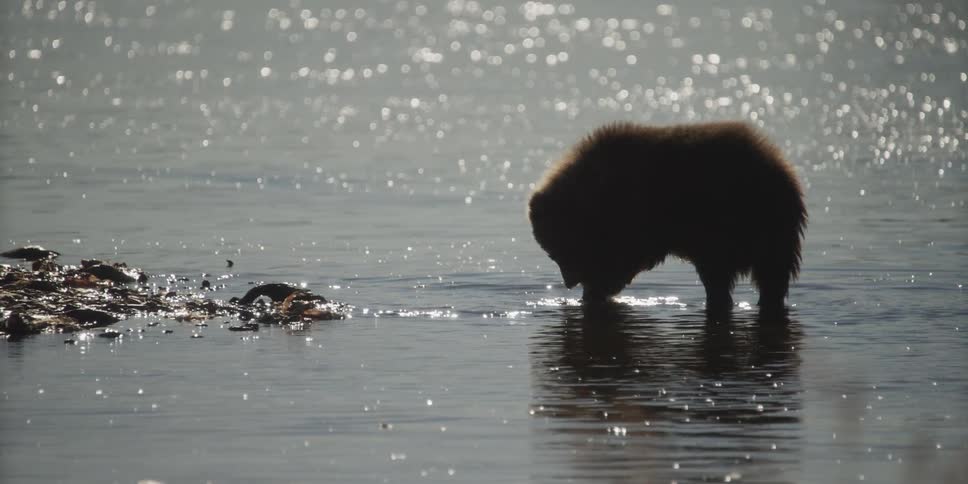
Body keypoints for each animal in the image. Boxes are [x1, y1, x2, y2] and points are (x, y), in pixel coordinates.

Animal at [528, 121, 807, 314]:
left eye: (559, 252)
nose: (568, 281)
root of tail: (780, 166)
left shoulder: (631, 217)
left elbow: (617, 263)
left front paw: (595, 290)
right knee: (768, 276)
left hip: (736, 217)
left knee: (726, 272)